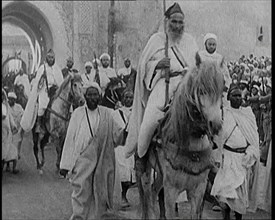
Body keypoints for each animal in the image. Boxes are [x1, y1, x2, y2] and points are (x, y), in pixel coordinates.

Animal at [137, 54, 225, 219]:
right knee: (146, 191)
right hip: (146, 170)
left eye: (222, 91)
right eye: (201, 90)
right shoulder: (171, 189)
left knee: (153, 191)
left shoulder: (198, 190)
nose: (215, 124)